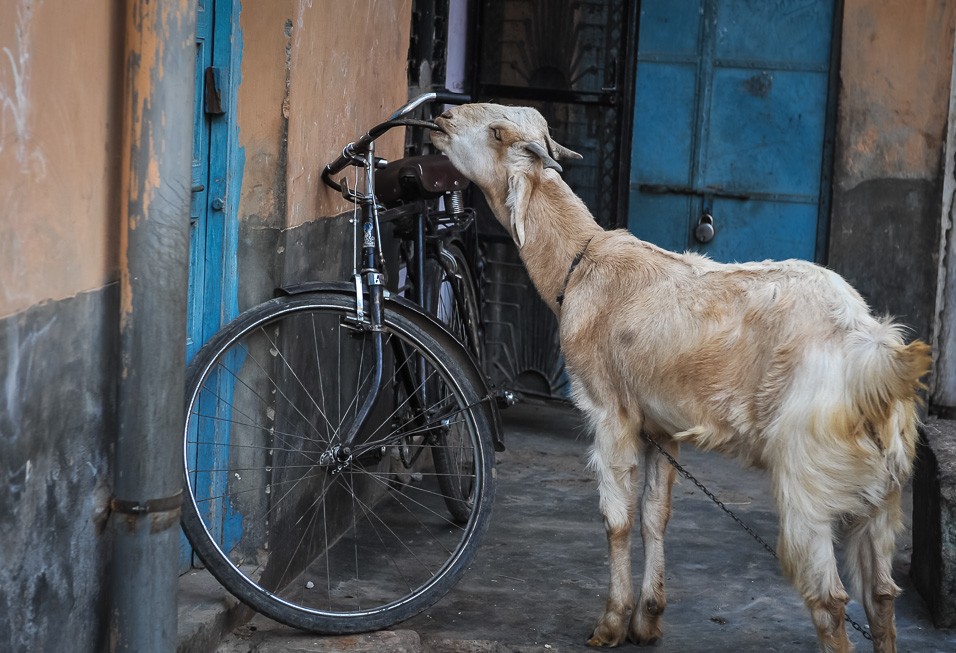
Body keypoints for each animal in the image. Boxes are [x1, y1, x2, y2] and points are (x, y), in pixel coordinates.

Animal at [434, 104, 932, 652]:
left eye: (498, 133)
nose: (443, 115)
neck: (582, 263)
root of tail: (872, 352)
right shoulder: (662, 425)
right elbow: (657, 515)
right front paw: (648, 618)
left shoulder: (610, 411)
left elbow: (617, 518)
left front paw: (611, 622)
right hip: (884, 489)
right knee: (880, 595)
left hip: (809, 481)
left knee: (831, 601)